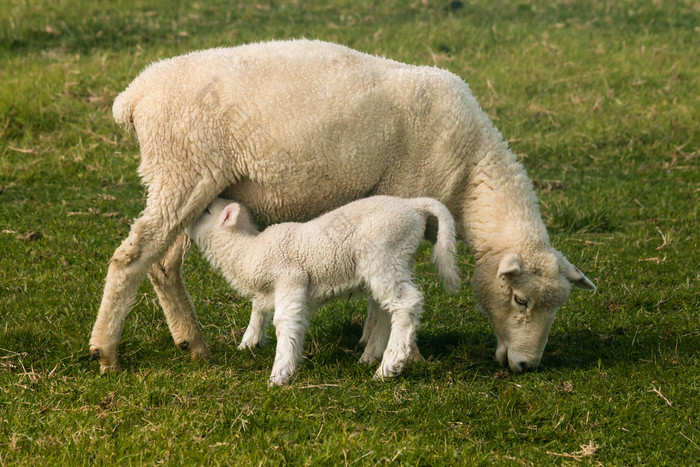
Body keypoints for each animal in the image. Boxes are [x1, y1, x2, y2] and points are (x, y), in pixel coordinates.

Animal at [183, 196, 462, 386]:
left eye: (206, 210)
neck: (247, 249)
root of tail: (413, 206)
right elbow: (265, 310)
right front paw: (248, 343)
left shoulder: (291, 279)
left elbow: (286, 323)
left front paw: (280, 374)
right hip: (396, 261)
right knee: (388, 310)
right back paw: (371, 356)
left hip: (384, 254)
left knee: (407, 303)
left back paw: (388, 367)